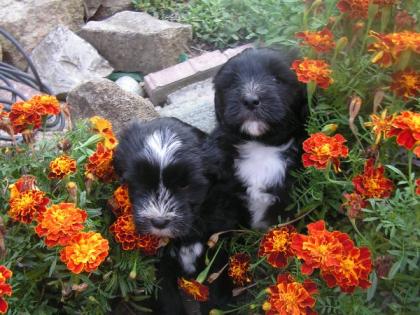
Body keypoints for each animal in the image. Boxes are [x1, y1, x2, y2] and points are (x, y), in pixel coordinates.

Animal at [113, 118, 233, 315]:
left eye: (184, 185)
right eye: (142, 183)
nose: (159, 222)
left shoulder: (217, 249)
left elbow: (215, 294)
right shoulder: (158, 265)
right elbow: (167, 299)